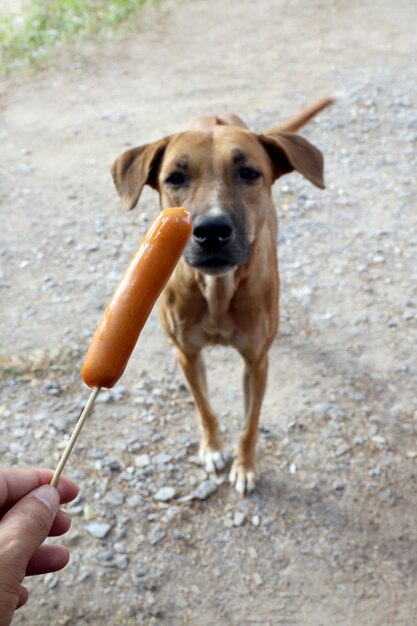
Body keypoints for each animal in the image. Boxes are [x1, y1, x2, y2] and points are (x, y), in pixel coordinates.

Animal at [110, 98, 332, 492]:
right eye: (175, 178)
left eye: (249, 172)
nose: (211, 230)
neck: (217, 289)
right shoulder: (186, 354)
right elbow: (204, 407)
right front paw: (213, 448)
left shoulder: (256, 363)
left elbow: (250, 424)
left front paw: (244, 467)